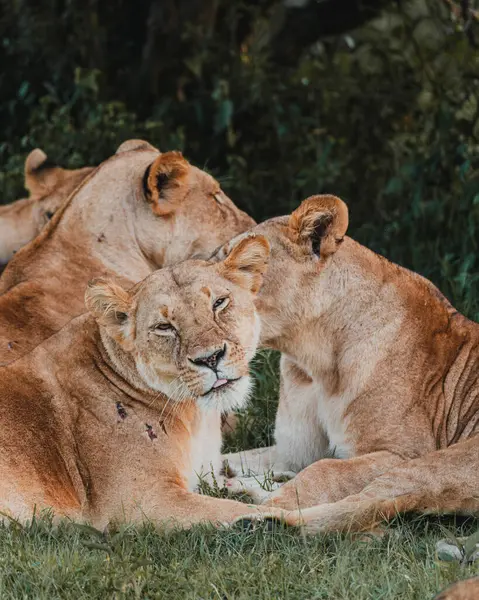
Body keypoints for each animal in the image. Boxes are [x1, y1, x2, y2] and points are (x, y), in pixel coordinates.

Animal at [219, 195, 478, 532]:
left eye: (244, 262)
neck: (313, 362)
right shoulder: (295, 451)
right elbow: (226, 456)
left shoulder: (400, 453)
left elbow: (324, 471)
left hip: (439, 463)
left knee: (361, 506)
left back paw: (253, 520)